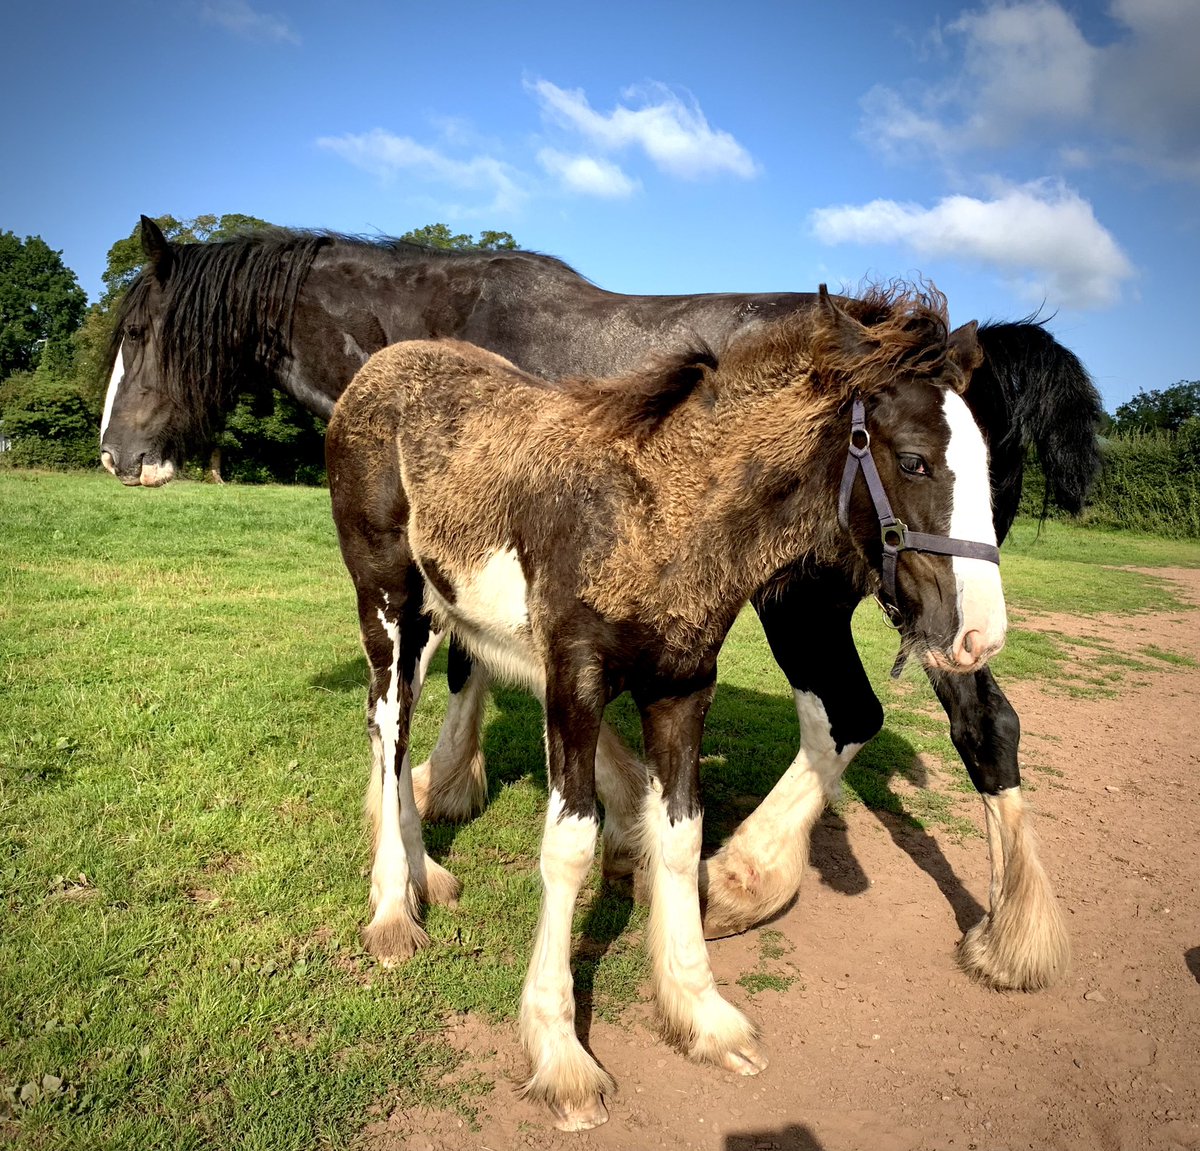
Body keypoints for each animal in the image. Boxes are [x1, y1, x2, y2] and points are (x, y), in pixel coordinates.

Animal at [101, 216, 1097, 990]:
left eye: (141, 328)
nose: (115, 453)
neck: (430, 327)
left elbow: (460, 675)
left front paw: (445, 796)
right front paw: (597, 815)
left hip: (840, 605)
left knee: (865, 713)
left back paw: (747, 877)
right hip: (928, 609)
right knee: (979, 724)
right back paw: (1013, 934)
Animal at [324, 283, 1006, 1129]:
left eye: (991, 464)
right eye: (913, 459)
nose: (981, 635)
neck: (658, 512)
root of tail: (378, 369)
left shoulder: (682, 687)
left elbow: (681, 838)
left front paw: (700, 1013)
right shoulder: (574, 681)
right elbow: (569, 846)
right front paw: (560, 1051)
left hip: (438, 609)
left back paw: (427, 876)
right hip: (387, 599)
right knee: (388, 727)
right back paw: (393, 909)